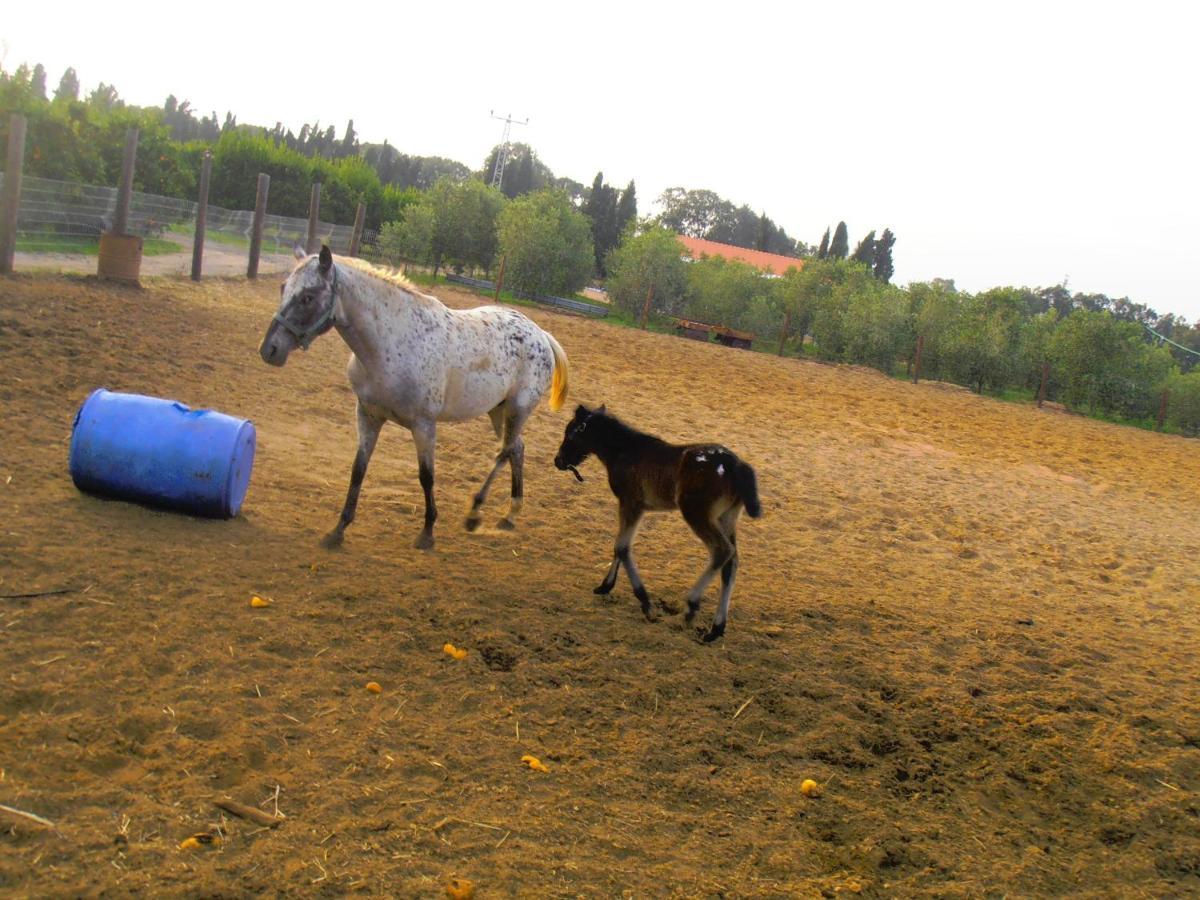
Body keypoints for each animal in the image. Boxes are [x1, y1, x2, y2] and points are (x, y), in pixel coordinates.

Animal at [260, 244, 568, 549]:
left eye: (308, 297)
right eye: (283, 287)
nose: (269, 350)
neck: (391, 343)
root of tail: (541, 335)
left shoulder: (423, 425)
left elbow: (426, 476)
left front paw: (427, 532)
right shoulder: (368, 416)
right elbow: (358, 468)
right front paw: (338, 530)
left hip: (517, 409)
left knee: (504, 452)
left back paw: (475, 513)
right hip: (498, 410)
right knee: (517, 449)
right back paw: (510, 515)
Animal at [552, 400, 758, 643]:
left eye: (570, 433)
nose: (558, 461)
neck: (625, 451)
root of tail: (735, 464)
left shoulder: (631, 503)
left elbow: (622, 547)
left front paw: (646, 603)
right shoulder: (633, 506)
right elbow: (618, 545)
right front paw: (605, 586)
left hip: (697, 513)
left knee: (722, 551)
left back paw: (691, 607)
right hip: (727, 517)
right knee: (731, 562)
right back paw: (716, 628)